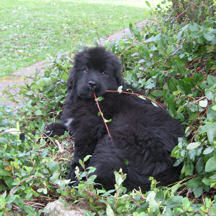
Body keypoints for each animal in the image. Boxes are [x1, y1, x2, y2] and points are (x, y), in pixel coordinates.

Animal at [46, 46, 183, 192]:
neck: (90, 101)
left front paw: (73, 173)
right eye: (85, 69)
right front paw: (50, 129)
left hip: (114, 141)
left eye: (104, 72)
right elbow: (64, 126)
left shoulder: (89, 131)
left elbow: (81, 153)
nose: (92, 84)